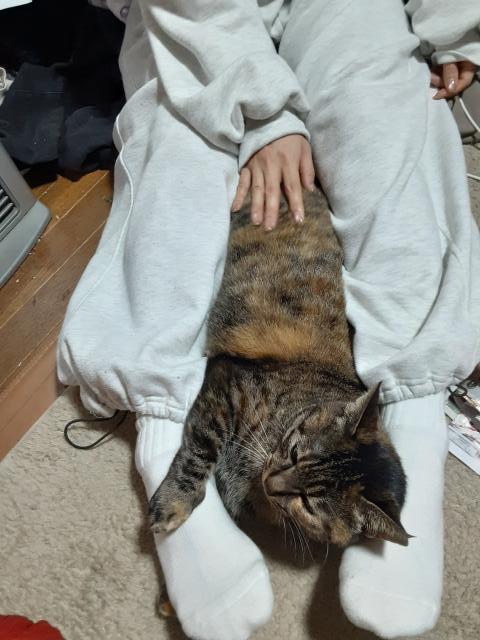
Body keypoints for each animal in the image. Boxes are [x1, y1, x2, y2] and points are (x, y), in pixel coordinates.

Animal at [149, 188, 409, 547]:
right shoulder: (224, 384)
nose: (271, 481)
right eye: (296, 452)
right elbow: (198, 452)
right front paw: (173, 501)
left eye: (309, 505)